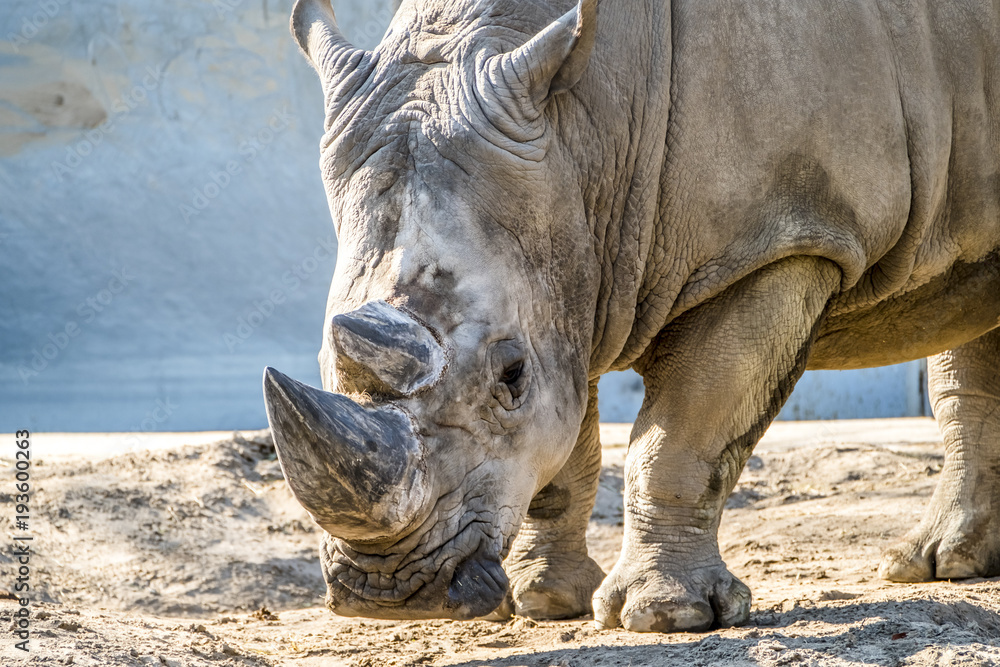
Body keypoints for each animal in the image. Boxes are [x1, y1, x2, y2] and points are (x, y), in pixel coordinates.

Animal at [263, 0, 1000, 632]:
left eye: (510, 376)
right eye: (324, 361)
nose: (389, 590)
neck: (586, 130)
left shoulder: (780, 241)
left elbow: (682, 434)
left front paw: (664, 617)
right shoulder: (574, 266)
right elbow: (569, 449)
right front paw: (542, 602)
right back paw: (940, 565)